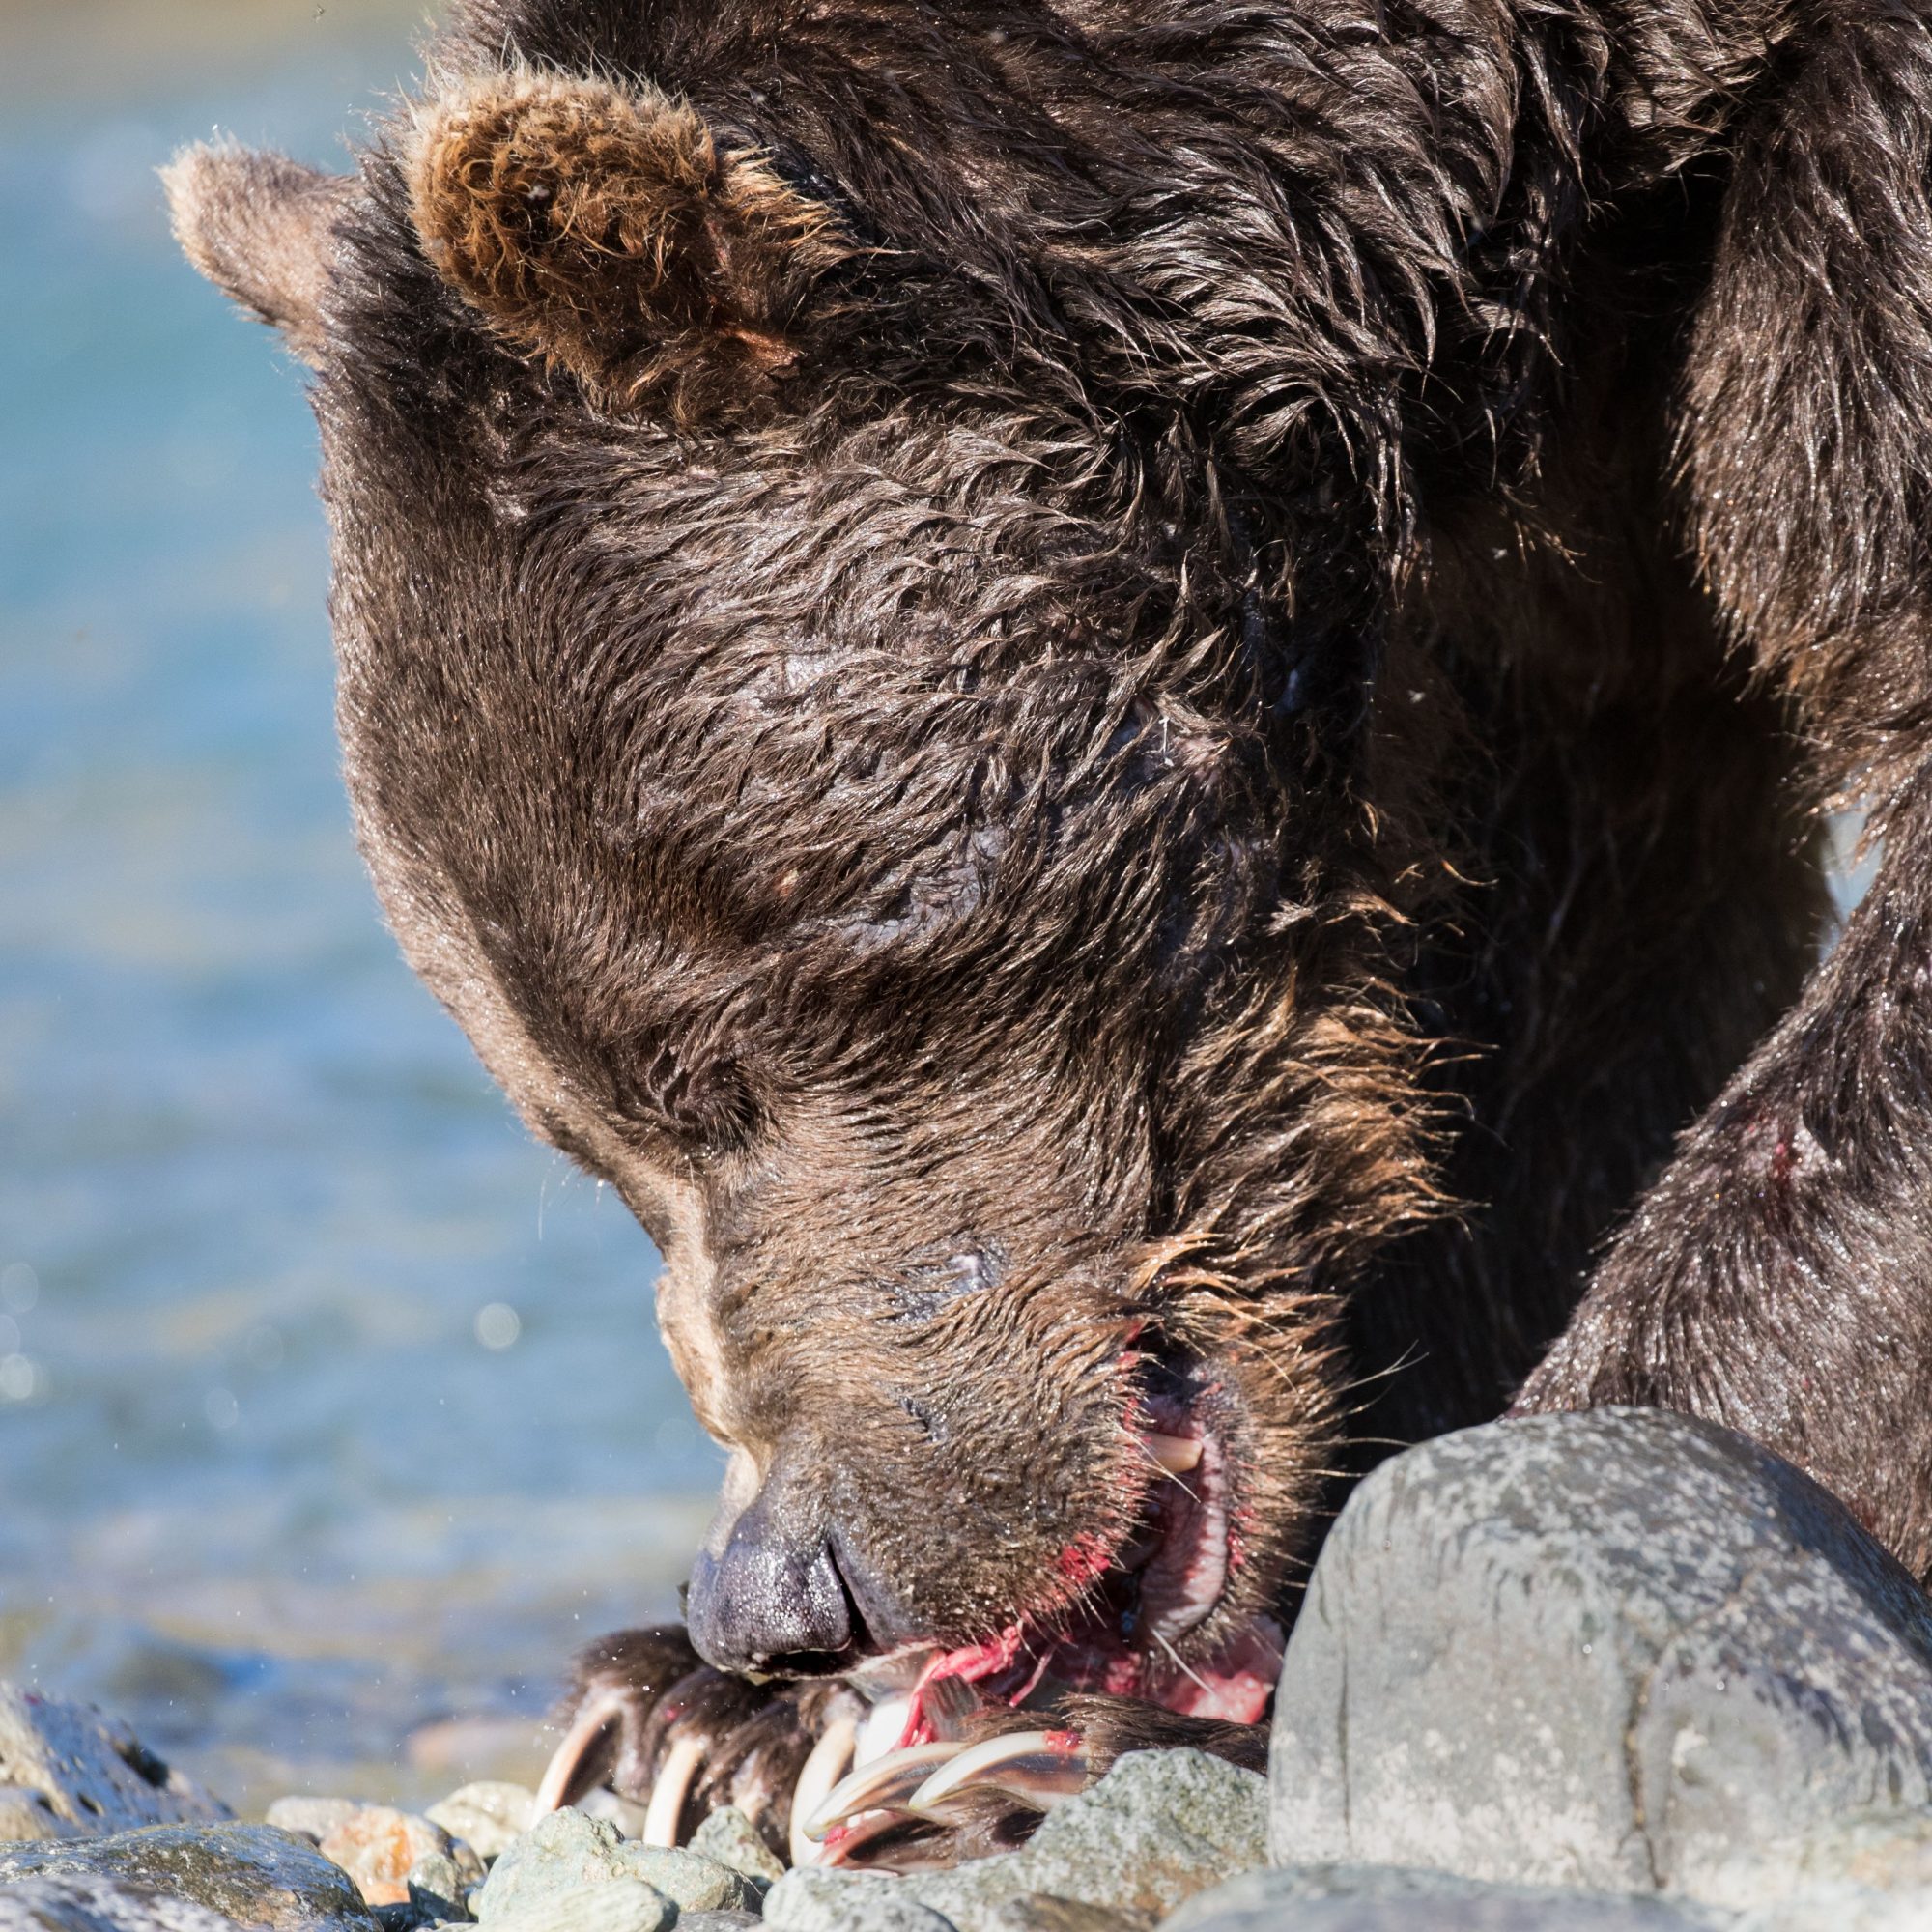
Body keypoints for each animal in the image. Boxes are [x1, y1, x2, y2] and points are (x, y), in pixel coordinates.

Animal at [166, 0, 1932, 1870]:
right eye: (584, 1135)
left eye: (711, 1051)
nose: (782, 1602)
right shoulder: (1555, 560)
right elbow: (1570, 989)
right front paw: (715, 1717)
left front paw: (1124, 1730)